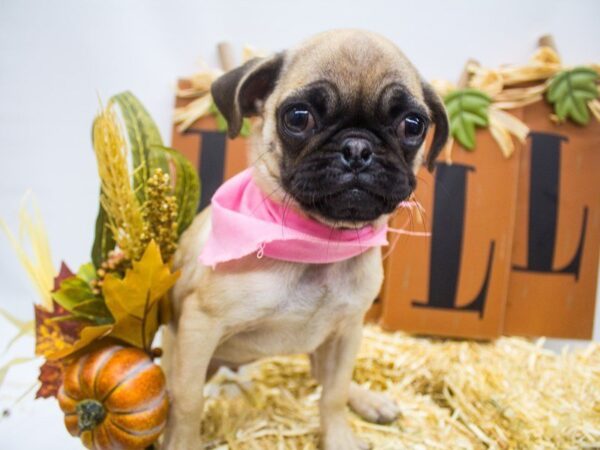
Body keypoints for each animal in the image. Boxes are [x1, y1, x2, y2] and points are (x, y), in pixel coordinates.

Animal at [162, 29, 448, 448]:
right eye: (298, 118)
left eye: (413, 125)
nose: (357, 148)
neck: (319, 242)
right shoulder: (199, 327)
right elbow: (188, 401)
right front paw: (182, 441)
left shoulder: (347, 331)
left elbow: (334, 393)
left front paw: (339, 438)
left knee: (323, 377)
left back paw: (369, 401)